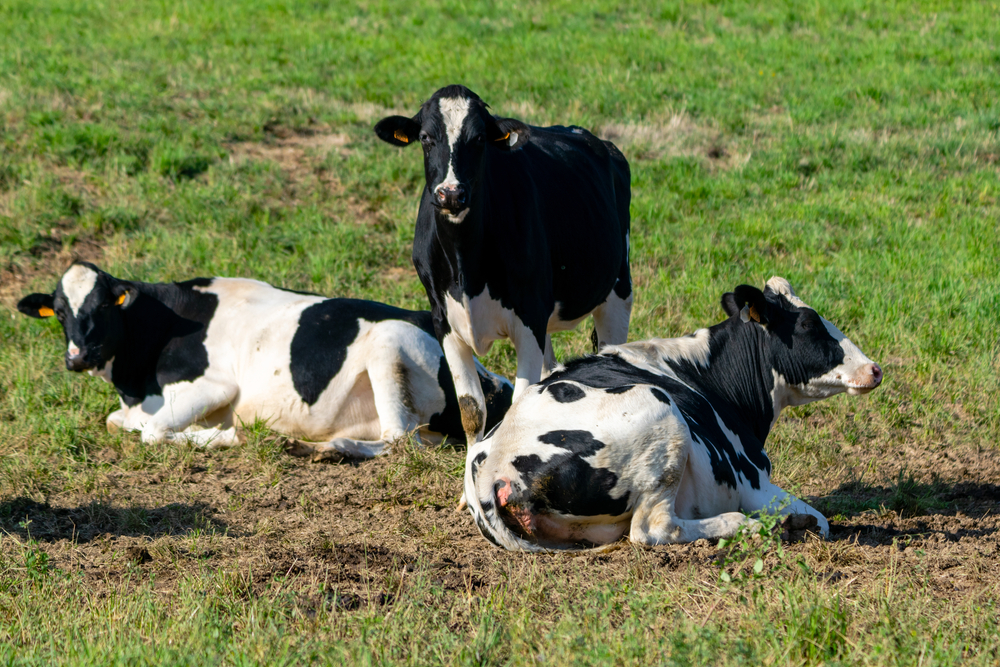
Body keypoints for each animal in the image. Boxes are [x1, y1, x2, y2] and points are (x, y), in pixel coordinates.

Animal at [17, 262, 512, 456]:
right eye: (59, 312)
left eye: (104, 305)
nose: (78, 356)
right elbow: (115, 423)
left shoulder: (214, 386)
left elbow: (154, 433)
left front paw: (220, 437)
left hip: (390, 346)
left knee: (398, 439)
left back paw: (321, 448)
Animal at [374, 84, 632, 445]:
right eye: (425, 137)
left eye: (480, 138)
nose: (451, 194)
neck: (465, 267)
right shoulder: (443, 320)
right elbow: (471, 410)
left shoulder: (530, 316)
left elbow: (516, 406)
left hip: (618, 289)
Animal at [464, 277, 884, 551]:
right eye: (810, 323)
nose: (874, 369)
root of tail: (493, 470)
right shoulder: (754, 483)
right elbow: (822, 521)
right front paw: (794, 523)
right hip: (661, 418)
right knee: (653, 530)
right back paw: (744, 526)